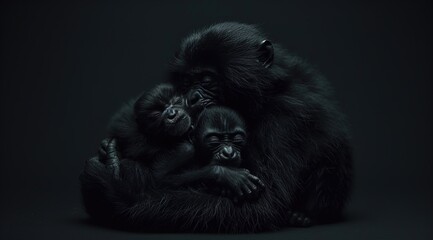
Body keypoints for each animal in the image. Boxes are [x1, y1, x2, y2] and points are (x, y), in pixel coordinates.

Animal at [80, 22, 352, 232]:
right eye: (187, 82)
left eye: (206, 80)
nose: (192, 98)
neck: (267, 93)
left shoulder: (284, 120)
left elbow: (265, 205)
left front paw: (109, 188)